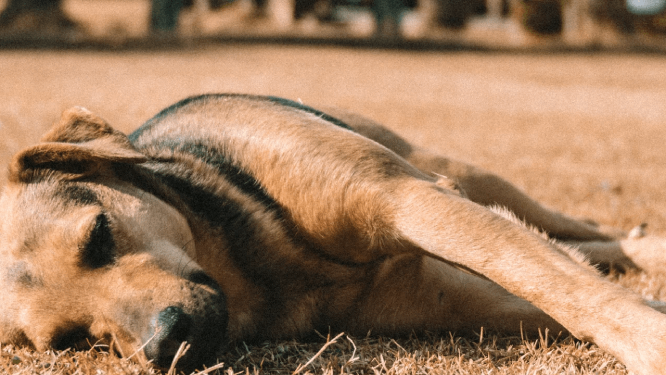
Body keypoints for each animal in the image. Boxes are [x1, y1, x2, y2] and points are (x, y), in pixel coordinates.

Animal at [1, 93, 664, 374]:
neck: (260, 268)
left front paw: (649, 344)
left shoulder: (406, 197)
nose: (165, 345)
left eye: (98, 234)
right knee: (580, 246)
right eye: (71, 341)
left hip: (458, 172)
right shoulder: (458, 301)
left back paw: (644, 244)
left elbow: (563, 285)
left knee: (579, 232)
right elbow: (555, 286)